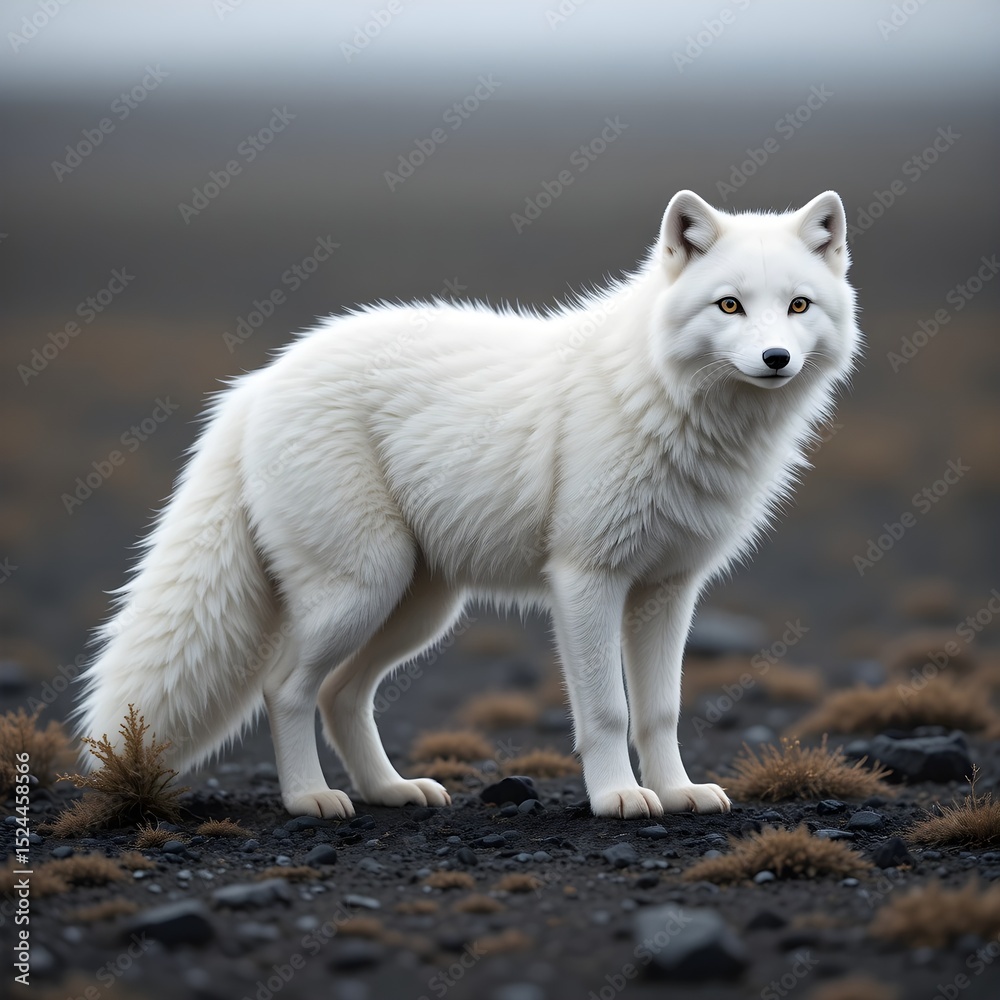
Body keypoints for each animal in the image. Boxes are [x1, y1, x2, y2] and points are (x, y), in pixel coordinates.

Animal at [77, 190, 862, 819]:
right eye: (729, 305)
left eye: (798, 306)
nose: (776, 360)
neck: (665, 399)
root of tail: (256, 382)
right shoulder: (585, 579)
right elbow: (608, 711)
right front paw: (617, 797)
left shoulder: (667, 590)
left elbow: (660, 712)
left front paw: (675, 792)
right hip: (362, 589)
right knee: (286, 689)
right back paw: (310, 799)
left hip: (418, 607)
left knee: (341, 696)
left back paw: (390, 790)